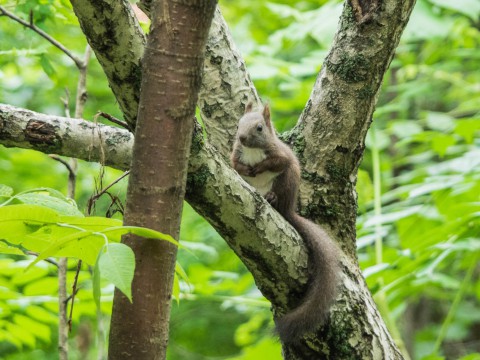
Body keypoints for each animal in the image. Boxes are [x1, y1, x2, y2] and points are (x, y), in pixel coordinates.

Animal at [231, 101, 340, 344]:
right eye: (238, 124)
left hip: (286, 180)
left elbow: (276, 161)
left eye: (260, 127)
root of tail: (289, 209)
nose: (242, 138)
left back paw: (272, 199)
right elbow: (235, 166)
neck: (253, 151)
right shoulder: (235, 155)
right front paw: (246, 170)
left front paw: (259, 167)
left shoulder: (281, 155)